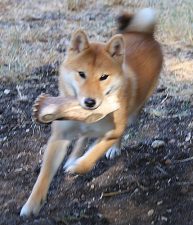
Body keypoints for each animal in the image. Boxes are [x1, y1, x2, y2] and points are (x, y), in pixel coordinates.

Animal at [20, 8, 163, 216]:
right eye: (81, 74)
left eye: (104, 77)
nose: (90, 102)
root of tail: (144, 34)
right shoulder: (59, 137)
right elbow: (44, 175)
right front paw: (32, 205)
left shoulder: (113, 131)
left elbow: (92, 156)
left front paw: (78, 165)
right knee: (83, 137)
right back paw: (74, 155)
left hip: (133, 112)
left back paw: (110, 149)